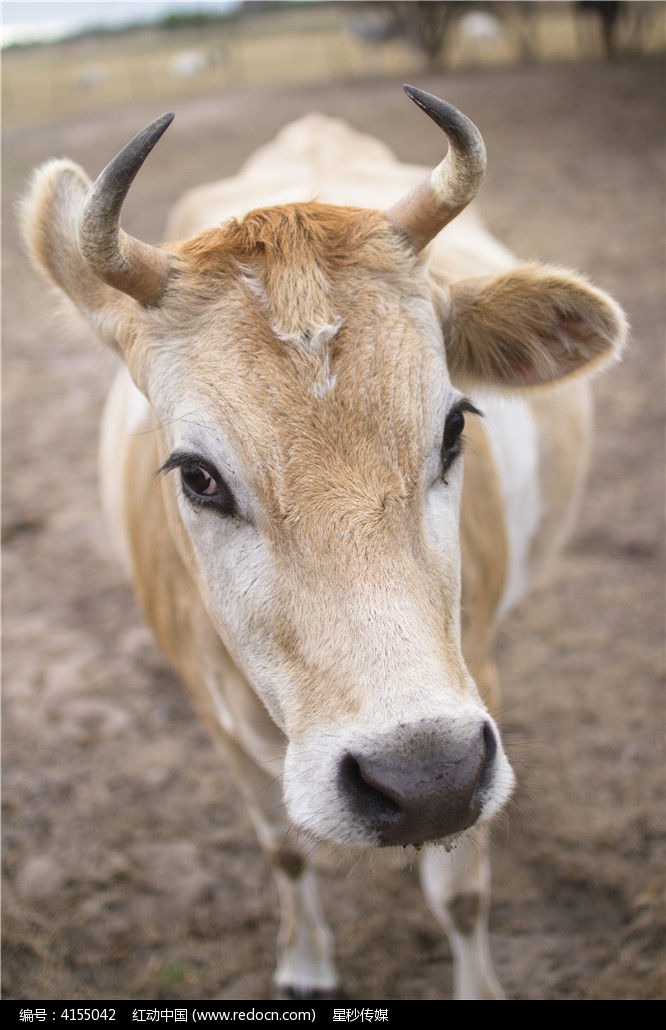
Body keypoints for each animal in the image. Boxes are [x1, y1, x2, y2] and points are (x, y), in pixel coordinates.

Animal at [20, 84, 625, 1001]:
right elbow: (283, 854)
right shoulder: (214, 721)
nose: (424, 779)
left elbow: (461, 898)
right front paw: (304, 961)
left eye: (454, 428)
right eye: (198, 476)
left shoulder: (473, 689)